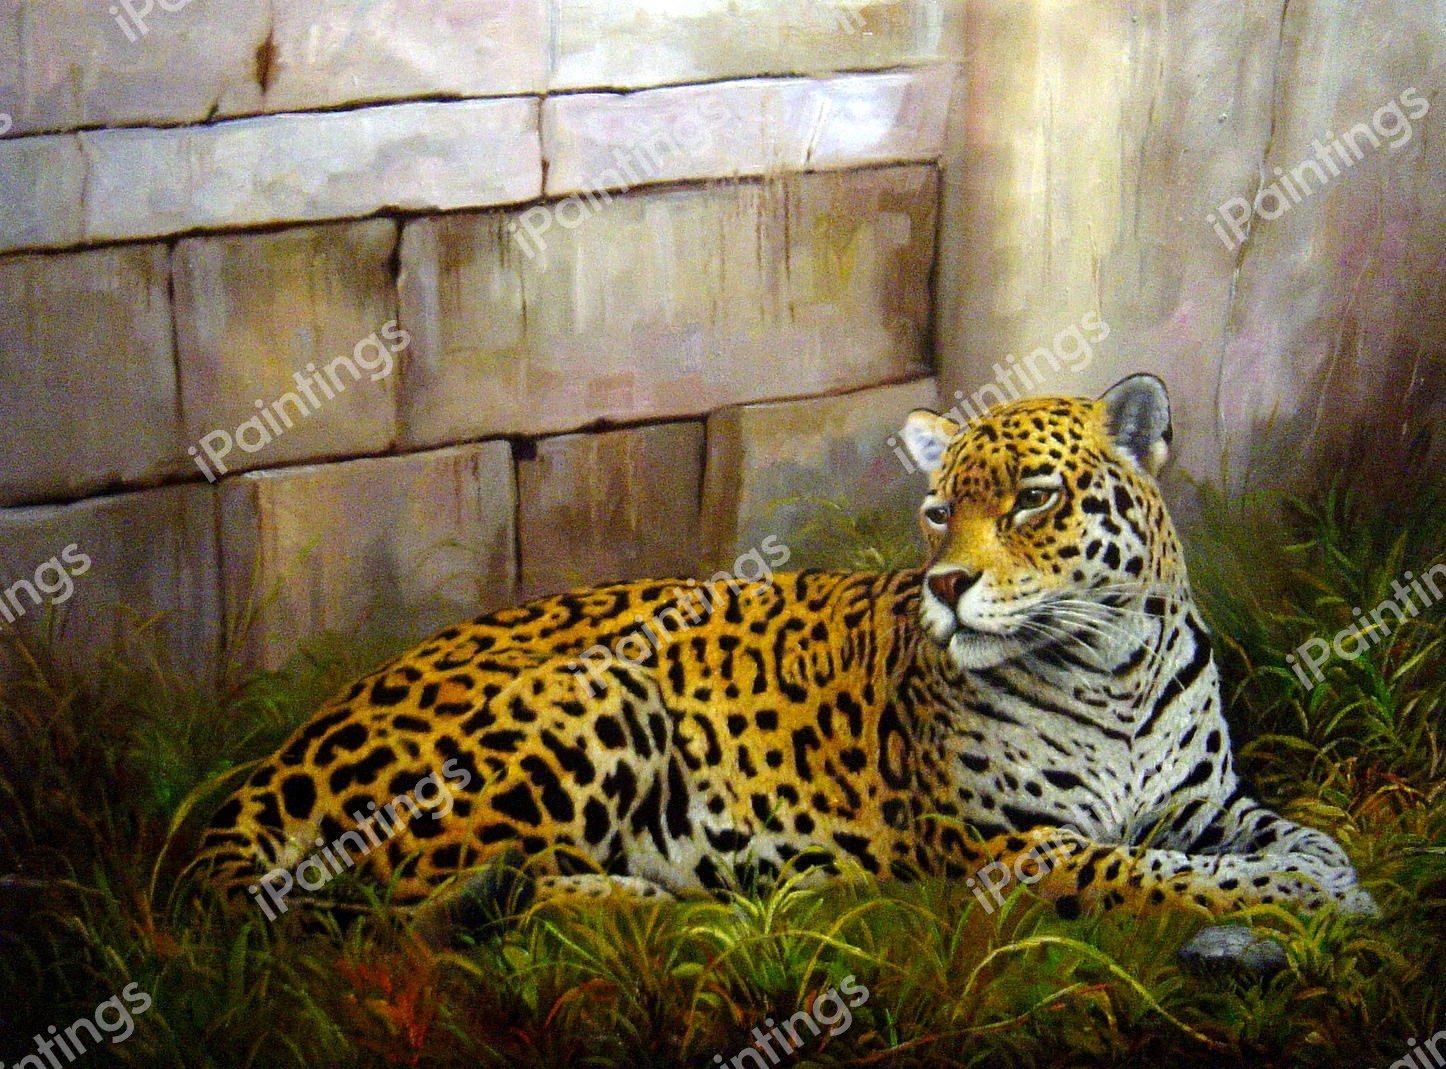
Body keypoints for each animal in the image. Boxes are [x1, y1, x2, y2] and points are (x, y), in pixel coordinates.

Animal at [189, 374, 1373, 945]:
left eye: (1034, 498)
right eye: (937, 513)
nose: (947, 585)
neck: (1109, 669)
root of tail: (298, 739)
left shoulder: (1206, 802)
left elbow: (1291, 838)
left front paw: (1329, 876)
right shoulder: (1016, 849)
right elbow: (1156, 876)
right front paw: (1291, 901)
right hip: (598, 694)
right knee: (395, 898)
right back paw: (641, 903)